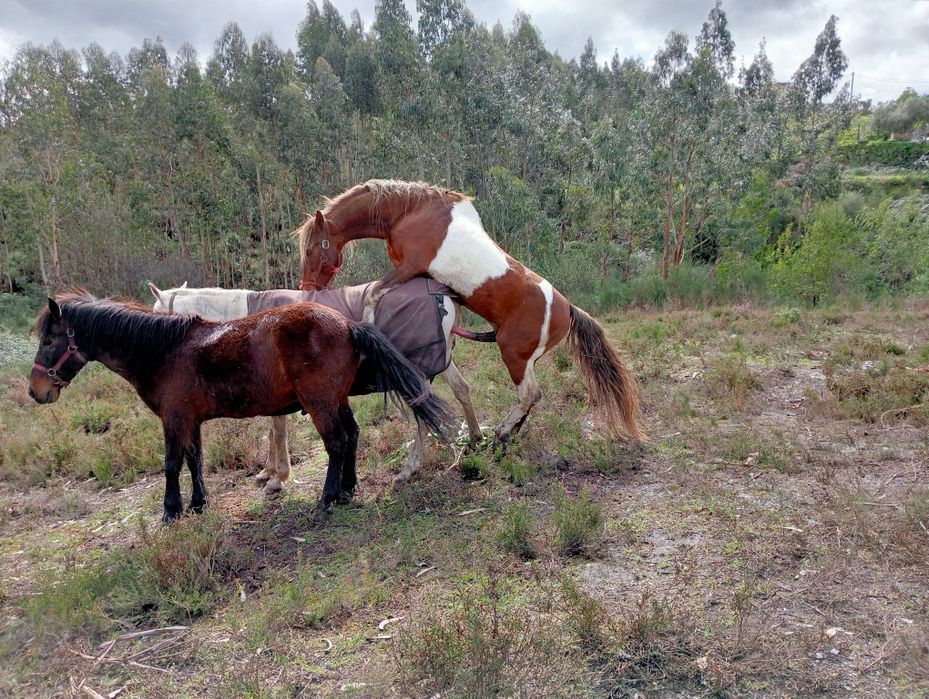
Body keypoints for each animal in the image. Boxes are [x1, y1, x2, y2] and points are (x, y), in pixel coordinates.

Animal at [29, 292, 451, 521]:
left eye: (49, 340)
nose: (36, 391)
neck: (165, 350)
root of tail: (347, 325)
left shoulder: (174, 419)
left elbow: (171, 464)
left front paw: (171, 511)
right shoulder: (191, 421)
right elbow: (194, 460)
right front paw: (198, 504)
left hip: (320, 403)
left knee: (337, 443)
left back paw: (328, 499)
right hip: (335, 400)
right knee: (351, 436)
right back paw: (346, 491)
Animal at [148, 279, 485, 490]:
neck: (242, 324)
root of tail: (442, 295)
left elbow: (277, 432)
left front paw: (278, 478)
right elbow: (271, 432)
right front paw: (268, 472)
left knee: (423, 416)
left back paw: (409, 468)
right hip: (441, 361)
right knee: (461, 390)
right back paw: (475, 436)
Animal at [296, 179, 645, 447]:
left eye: (313, 247)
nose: (307, 286)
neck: (410, 211)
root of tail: (568, 309)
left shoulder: (407, 268)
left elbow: (372, 294)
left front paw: (369, 326)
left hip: (512, 356)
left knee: (528, 394)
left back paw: (501, 433)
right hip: (527, 360)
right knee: (533, 396)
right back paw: (508, 432)